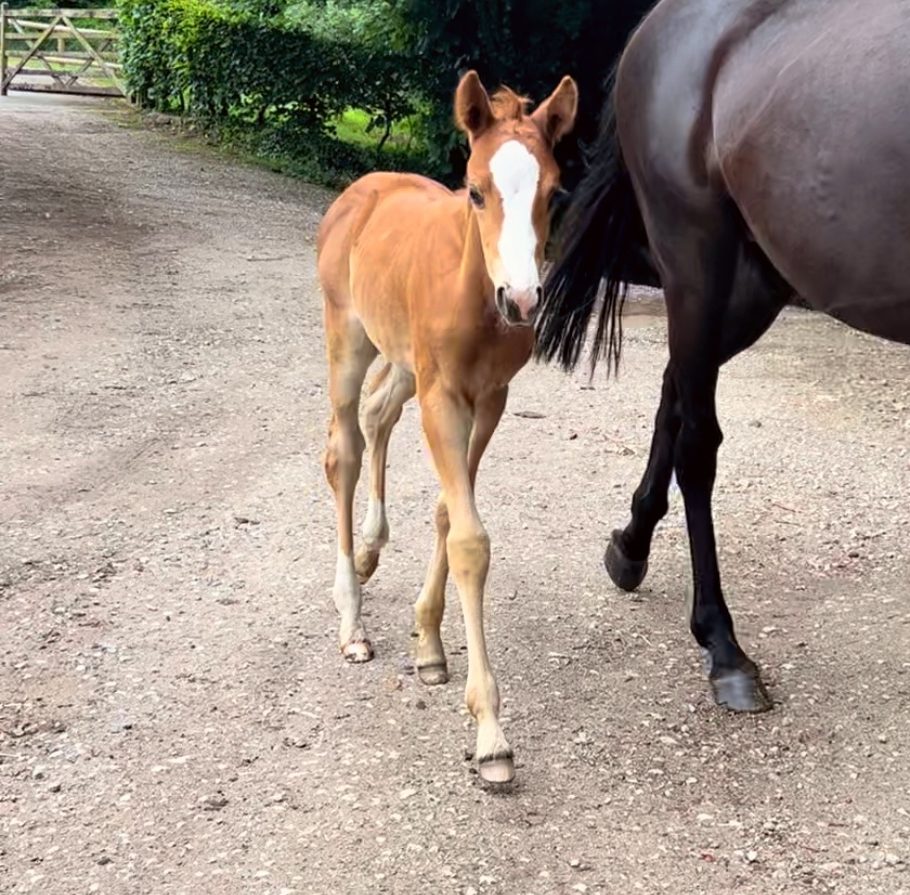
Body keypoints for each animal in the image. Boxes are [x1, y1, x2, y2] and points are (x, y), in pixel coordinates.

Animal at [317, 70, 578, 782]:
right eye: (476, 191)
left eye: (555, 193)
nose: (522, 300)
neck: (474, 298)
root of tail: (362, 189)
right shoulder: (444, 399)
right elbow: (469, 538)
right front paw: (490, 731)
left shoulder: (488, 400)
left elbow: (445, 510)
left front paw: (431, 644)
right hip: (349, 339)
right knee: (344, 449)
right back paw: (351, 620)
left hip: (406, 362)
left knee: (377, 413)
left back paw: (372, 550)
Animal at [535, 0, 910, 714]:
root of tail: (655, 26)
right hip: (696, 262)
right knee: (697, 445)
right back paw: (723, 647)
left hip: (753, 286)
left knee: (673, 394)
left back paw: (630, 547)